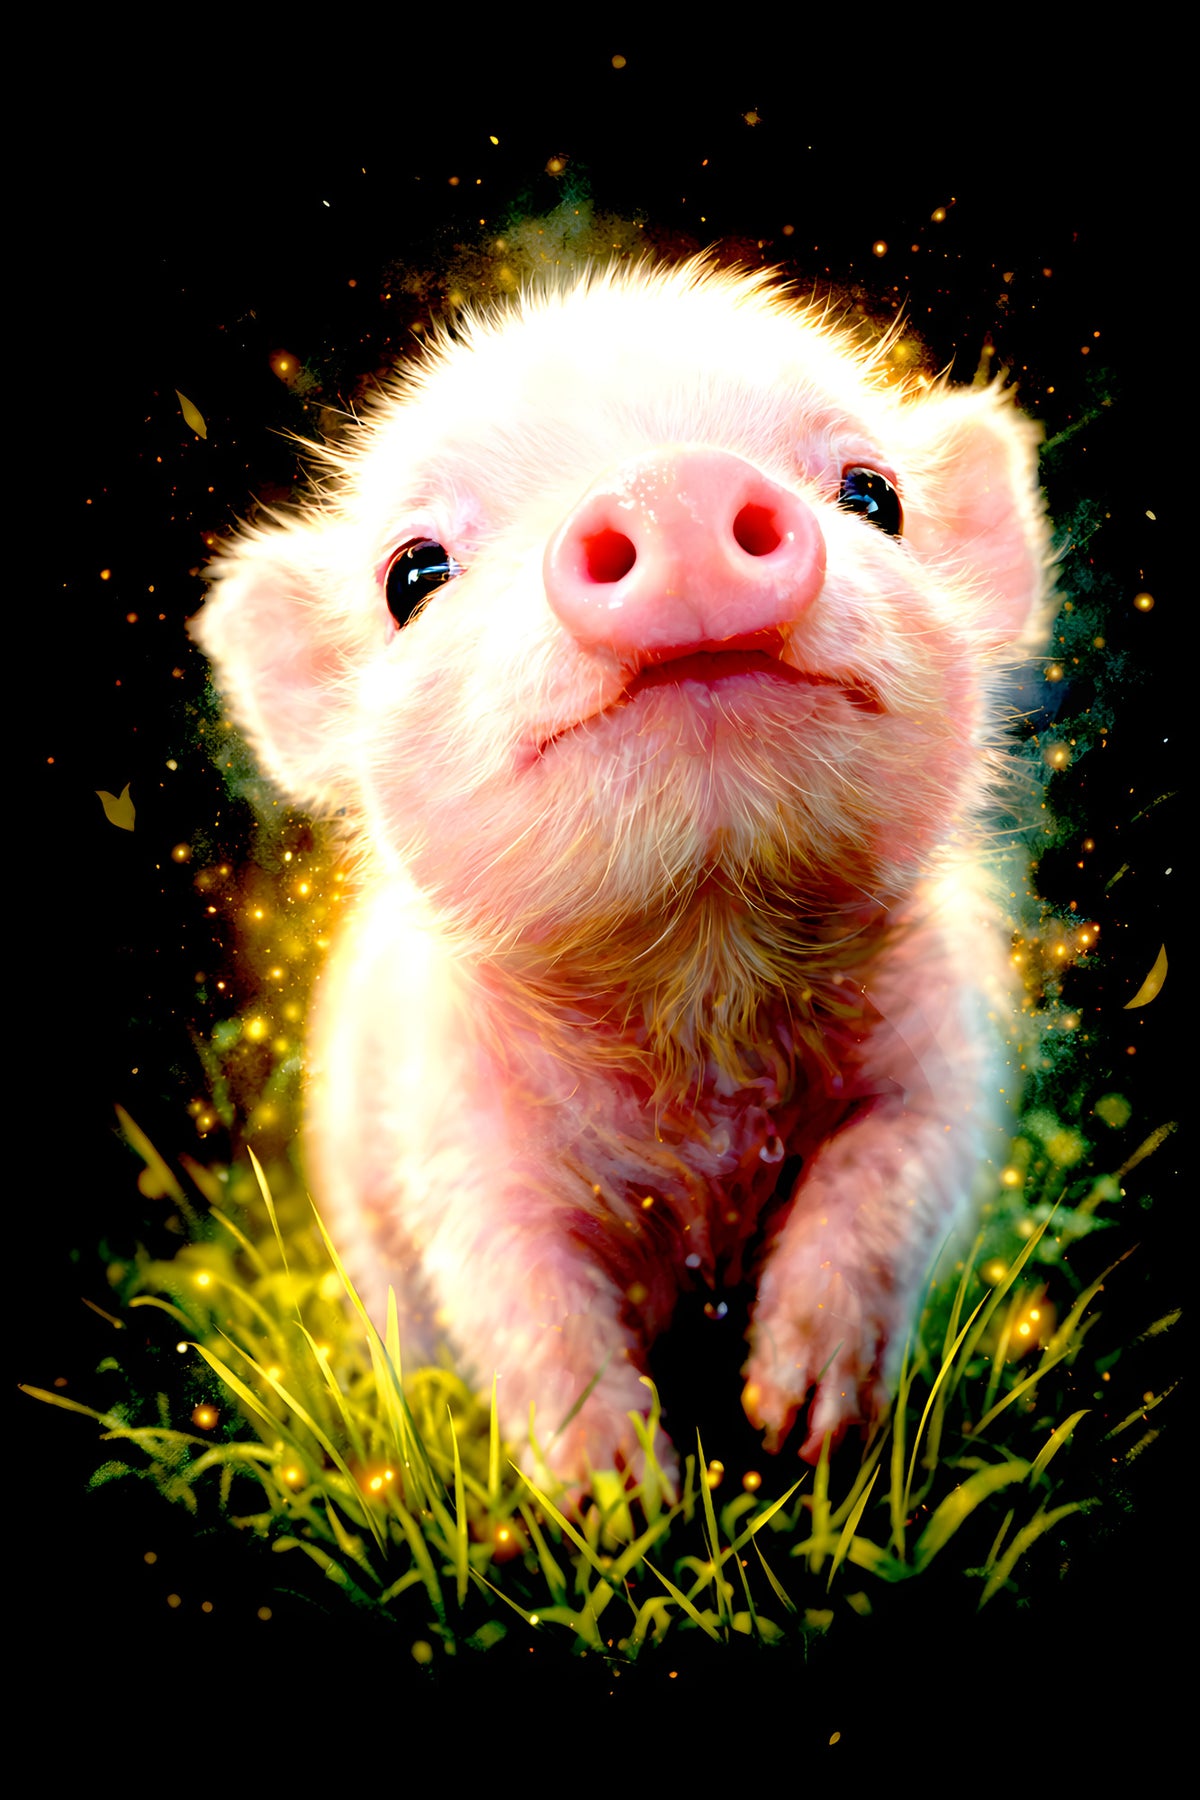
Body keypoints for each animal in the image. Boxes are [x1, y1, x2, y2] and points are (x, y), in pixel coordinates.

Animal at [196, 257, 1050, 1490]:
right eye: (413, 575)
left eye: (873, 494)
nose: (671, 485)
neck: (701, 984)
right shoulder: (454, 1131)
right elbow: (524, 1299)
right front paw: (618, 1497)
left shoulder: (947, 1059)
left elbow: (886, 1184)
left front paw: (796, 1429)